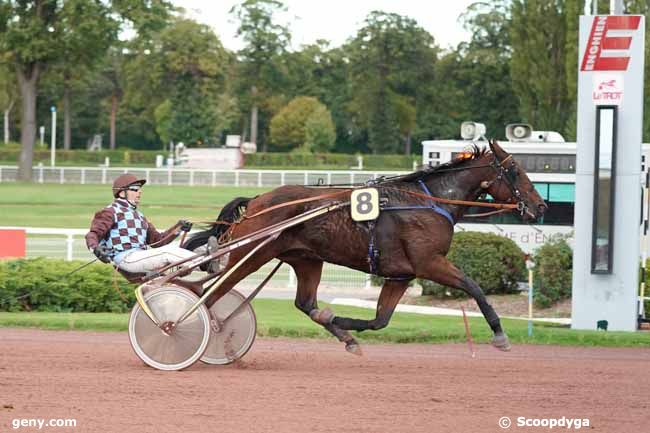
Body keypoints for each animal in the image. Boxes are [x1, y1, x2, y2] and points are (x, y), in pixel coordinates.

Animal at [185, 141, 544, 354]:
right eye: (514, 170)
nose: (539, 206)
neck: (429, 201)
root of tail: (257, 200)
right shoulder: (429, 263)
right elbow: (474, 286)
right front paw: (500, 334)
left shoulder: (400, 275)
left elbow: (380, 320)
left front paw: (341, 322)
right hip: (253, 253)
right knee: (210, 292)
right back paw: (189, 327)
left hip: (306, 259)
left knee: (305, 303)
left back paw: (341, 333)